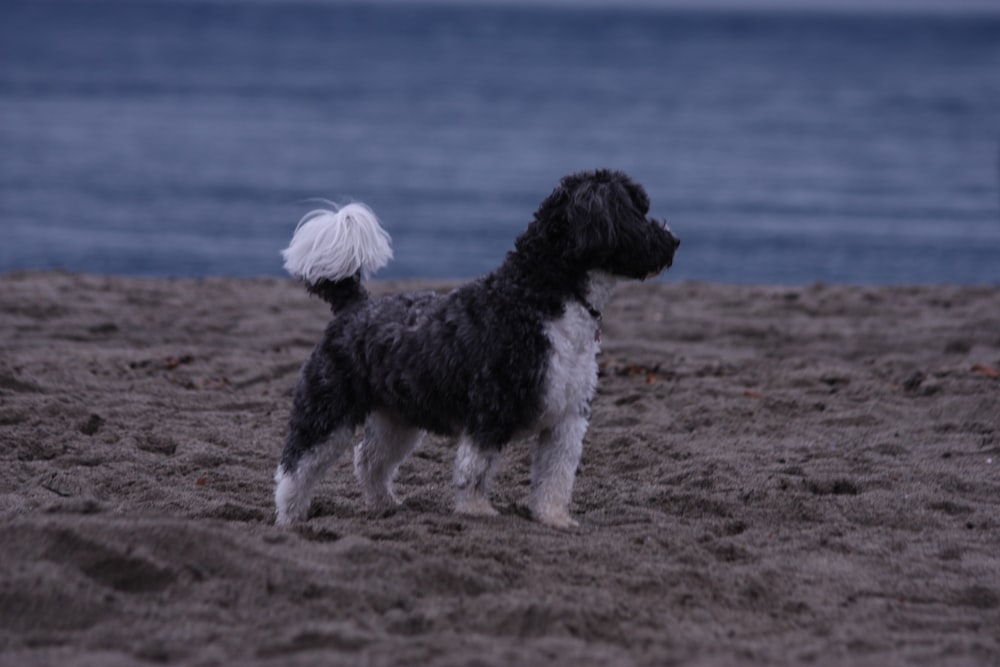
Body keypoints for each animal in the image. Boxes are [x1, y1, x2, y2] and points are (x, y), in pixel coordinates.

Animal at [274, 170, 680, 528]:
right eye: (635, 212)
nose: (674, 240)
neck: (536, 298)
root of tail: (355, 306)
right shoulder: (491, 409)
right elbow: (476, 468)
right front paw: (476, 511)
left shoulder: (567, 419)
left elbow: (556, 477)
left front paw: (553, 518)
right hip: (328, 409)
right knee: (296, 468)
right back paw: (289, 518)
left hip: (397, 417)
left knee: (369, 460)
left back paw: (384, 505)